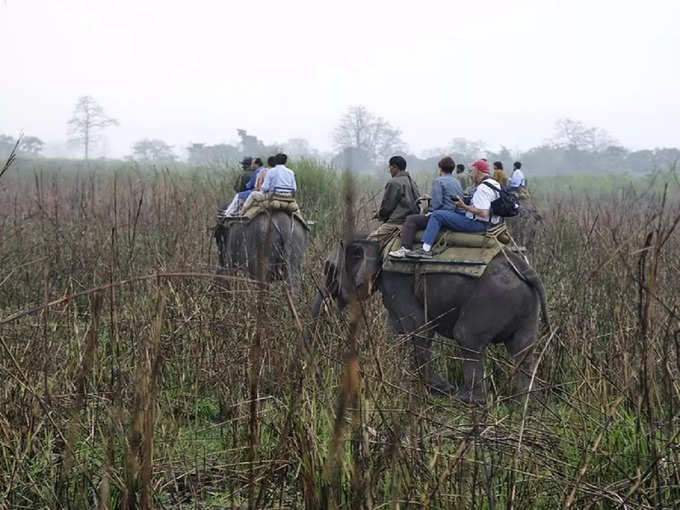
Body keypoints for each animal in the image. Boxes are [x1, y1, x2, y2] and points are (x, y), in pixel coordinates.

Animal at [312, 238, 548, 402]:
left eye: (328, 269)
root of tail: (526, 270)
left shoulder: (395, 280)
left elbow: (419, 328)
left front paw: (439, 389)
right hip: (526, 307)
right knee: (523, 349)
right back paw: (524, 403)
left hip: (491, 299)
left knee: (466, 337)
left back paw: (469, 400)